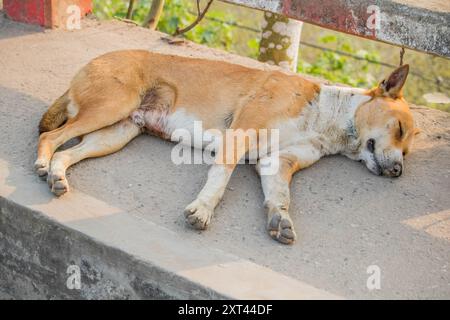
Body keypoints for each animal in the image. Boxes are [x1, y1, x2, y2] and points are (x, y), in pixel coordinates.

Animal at [35, 50, 418, 245]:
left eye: (407, 151)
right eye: (399, 129)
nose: (399, 171)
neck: (325, 115)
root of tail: (93, 60)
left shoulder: (277, 163)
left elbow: (280, 197)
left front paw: (280, 219)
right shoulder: (240, 134)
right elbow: (220, 178)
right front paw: (202, 210)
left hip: (117, 132)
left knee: (66, 151)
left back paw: (58, 176)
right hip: (112, 106)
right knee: (50, 138)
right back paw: (42, 163)